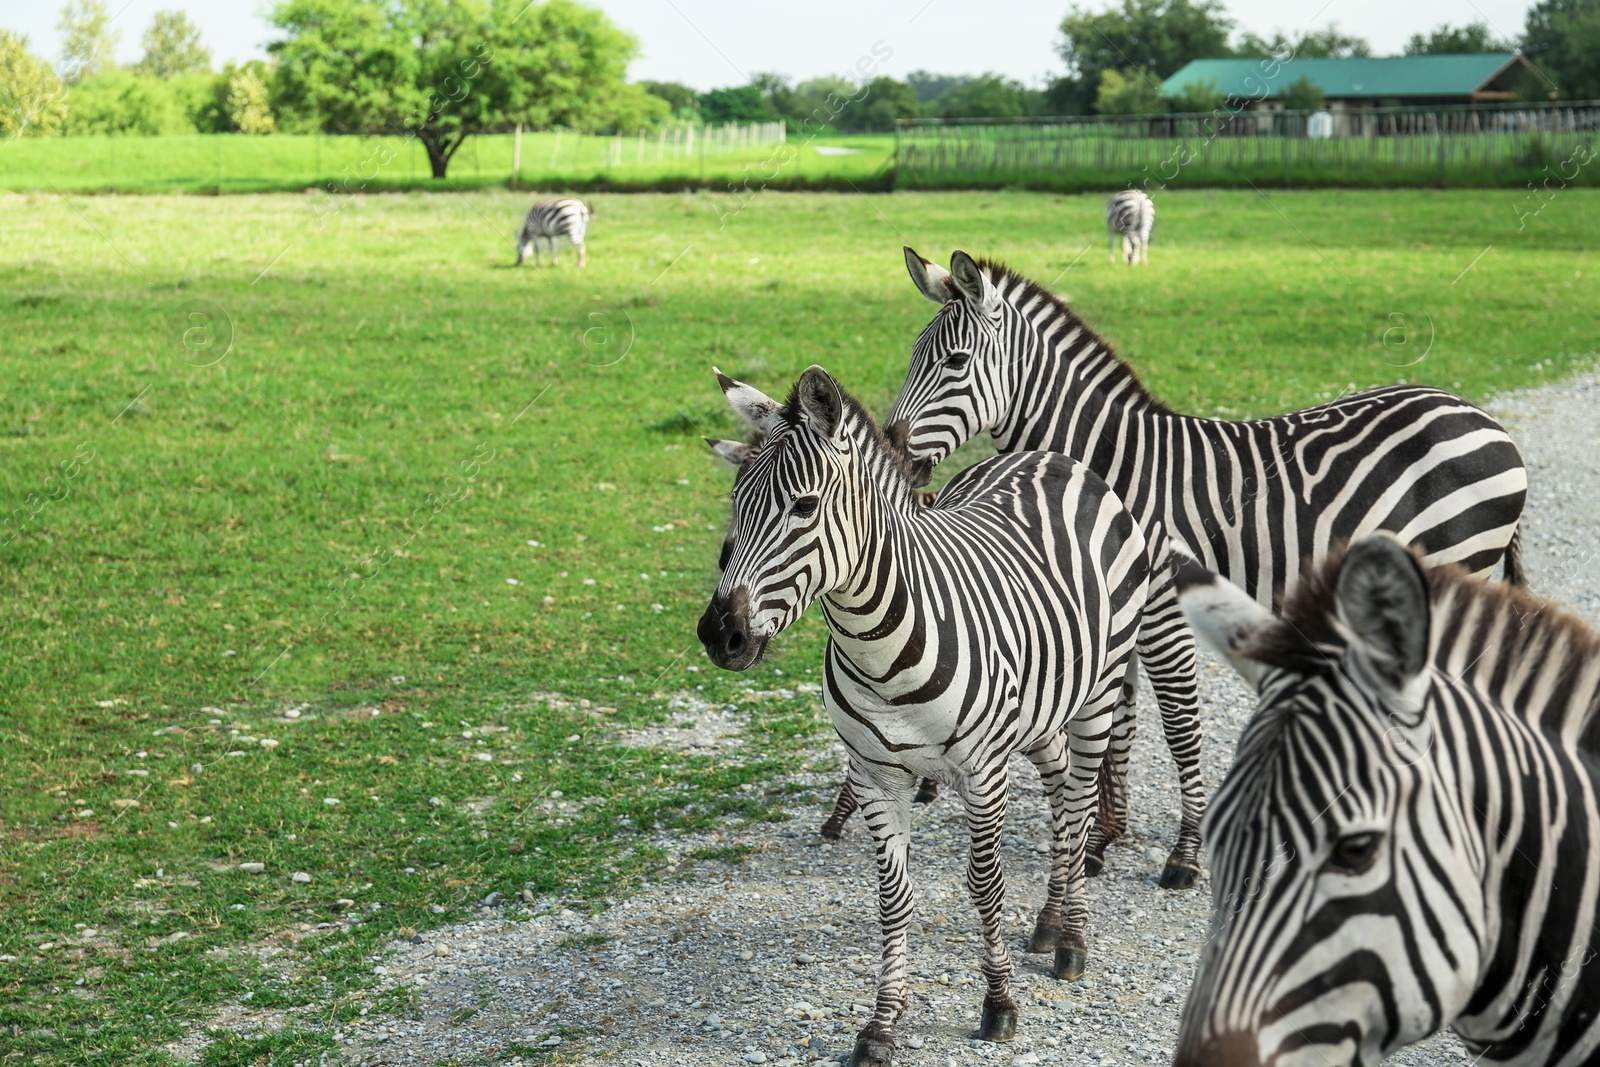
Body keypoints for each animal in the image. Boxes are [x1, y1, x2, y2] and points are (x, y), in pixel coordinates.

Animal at [697, 367, 1203, 1067]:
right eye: (735, 503)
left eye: (803, 507)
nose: (720, 635)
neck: (879, 648)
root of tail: (1048, 456)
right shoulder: (876, 773)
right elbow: (893, 899)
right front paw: (881, 1025)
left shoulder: (984, 770)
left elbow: (984, 884)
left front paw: (999, 1004)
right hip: (1040, 709)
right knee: (1058, 789)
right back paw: (1049, 922)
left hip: (1097, 692)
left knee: (1076, 805)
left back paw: (1072, 941)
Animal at [896, 247, 1529, 876]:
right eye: (911, 357)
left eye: (954, 362)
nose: (896, 451)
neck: (1111, 468)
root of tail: (1483, 419)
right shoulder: (1117, 611)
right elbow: (1118, 721)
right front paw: (1102, 839)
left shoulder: (1162, 608)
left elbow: (1178, 725)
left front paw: (1185, 852)